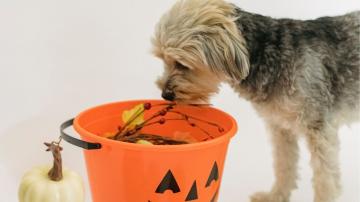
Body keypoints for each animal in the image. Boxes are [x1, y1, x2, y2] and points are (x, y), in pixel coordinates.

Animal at [150, 0, 358, 201]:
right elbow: (284, 166)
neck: (268, 55)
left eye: (181, 64)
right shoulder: (280, 128)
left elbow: (325, 179)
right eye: (162, 59)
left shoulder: (320, 130)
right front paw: (275, 196)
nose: (165, 95)